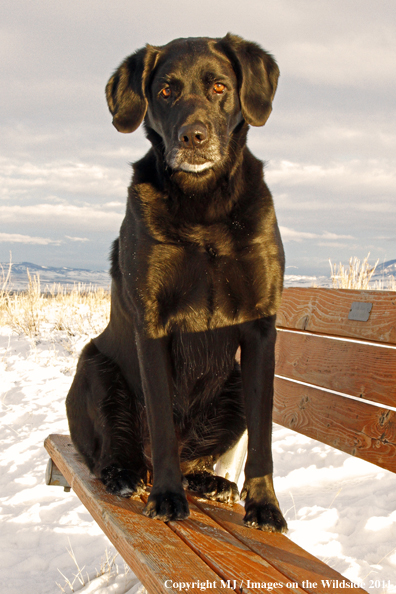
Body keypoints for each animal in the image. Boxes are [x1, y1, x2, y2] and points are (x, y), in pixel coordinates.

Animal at [65, 34, 288, 528]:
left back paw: (210, 481)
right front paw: (166, 498)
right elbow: (163, 425)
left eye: (220, 86)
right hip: (96, 367)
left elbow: (262, 438)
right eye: (166, 91)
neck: (203, 207)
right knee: (120, 448)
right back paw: (125, 474)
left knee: (195, 457)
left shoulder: (261, 329)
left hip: (233, 383)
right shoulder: (153, 326)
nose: (193, 137)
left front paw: (264, 504)